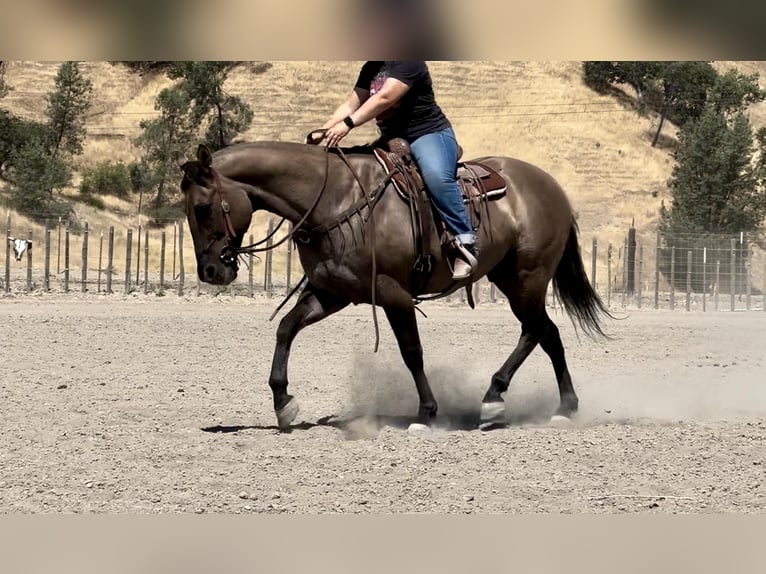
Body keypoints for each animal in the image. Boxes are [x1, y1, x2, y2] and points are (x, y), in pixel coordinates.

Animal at [177, 138, 612, 433]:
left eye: (203, 207)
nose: (210, 272)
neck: (334, 199)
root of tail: (551, 186)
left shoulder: (392, 294)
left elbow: (411, 352)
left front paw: (426, 413)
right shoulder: (332, 293)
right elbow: (286, 328)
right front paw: (284, 402)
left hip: (527, 279)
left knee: (538, 331)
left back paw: (507, 400)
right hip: (510, 278)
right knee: (546, 333)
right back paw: (549, 406)